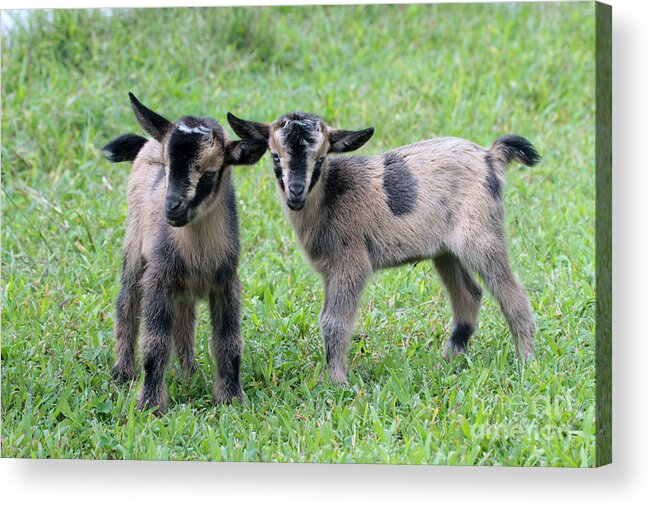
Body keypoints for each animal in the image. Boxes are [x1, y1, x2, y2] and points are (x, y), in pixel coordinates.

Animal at [102, 93, 264, 414]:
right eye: (166, 167)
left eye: (209, 173)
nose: (172, 208)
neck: (197, 252)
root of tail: (147, 143)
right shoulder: (159, 278)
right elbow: (155, 344)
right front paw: (150, 405)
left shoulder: (226, 282)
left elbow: (229, 343)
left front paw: (231, 399)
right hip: (134, 249)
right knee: (127, 304)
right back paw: (123, 371)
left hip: (184, 288)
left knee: (184, 322)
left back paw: (191, 371)